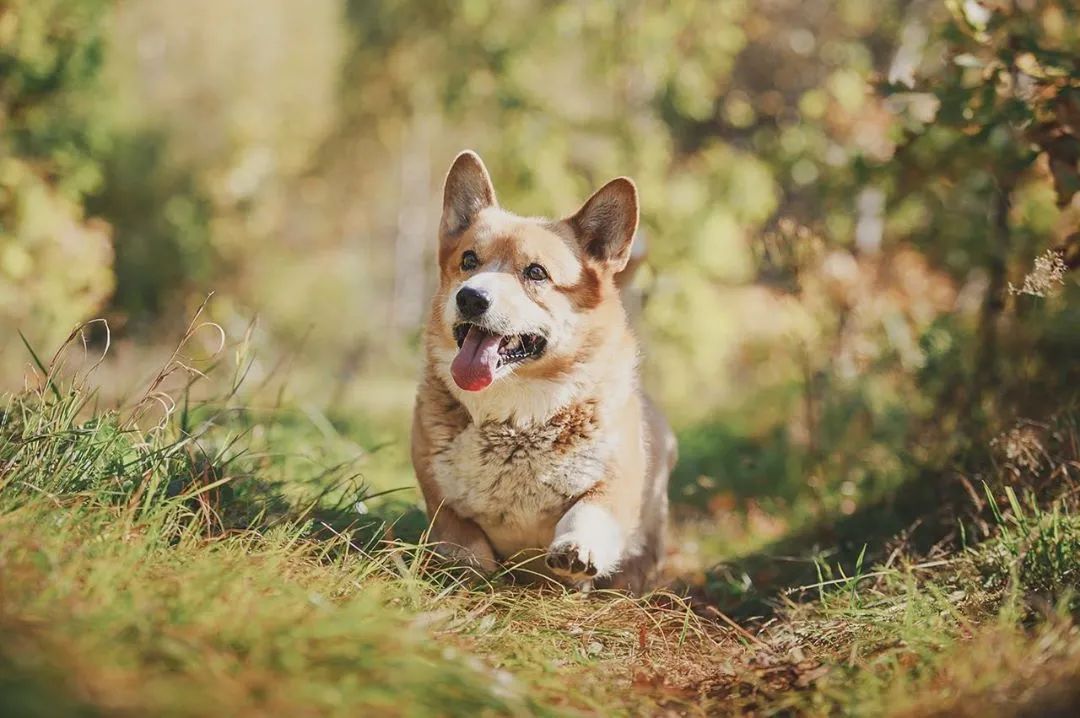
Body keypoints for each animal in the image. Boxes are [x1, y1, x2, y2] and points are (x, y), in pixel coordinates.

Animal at [410, 151, 673, 591]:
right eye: (468, 261)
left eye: (536, 272)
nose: (470, 298)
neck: (516, 418)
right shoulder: (439, 500)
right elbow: (462, 538)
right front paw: (470, 569)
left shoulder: (616, 485)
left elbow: (588, 510)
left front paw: (576, 548)